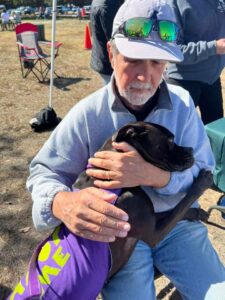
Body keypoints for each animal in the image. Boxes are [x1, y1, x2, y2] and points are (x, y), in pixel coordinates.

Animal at [74, 120, 213, 278]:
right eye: (171, 140)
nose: (191, 149)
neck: (106, 175)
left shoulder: (149, 214)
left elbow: (172, 211)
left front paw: (198, 213)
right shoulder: (154, 234)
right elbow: (180, 208)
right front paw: (202, 182)